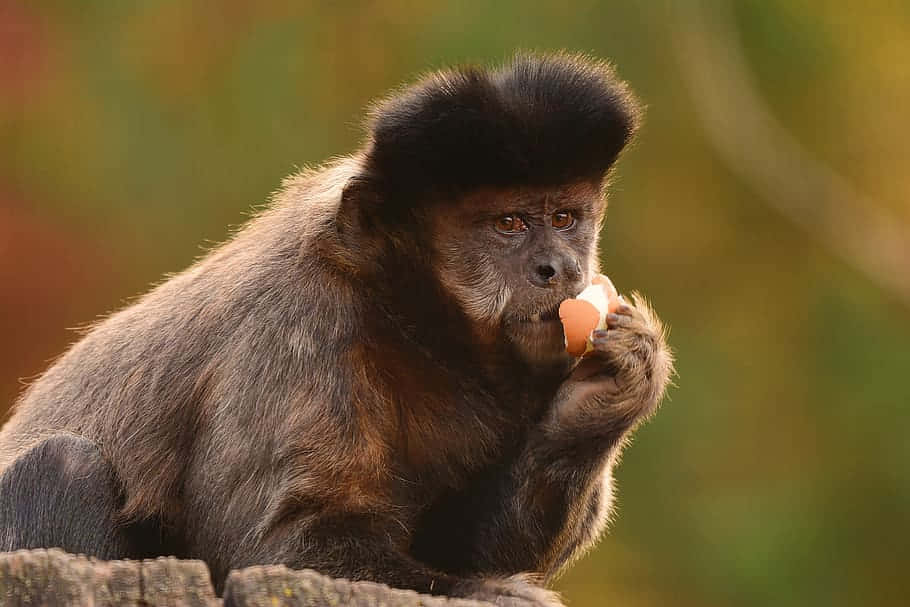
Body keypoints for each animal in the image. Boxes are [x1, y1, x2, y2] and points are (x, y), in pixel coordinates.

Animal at [1, 54, 676, 604]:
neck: (409, 321)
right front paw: (485, 595)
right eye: (509, 224)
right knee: (64, 465)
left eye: (564, 218)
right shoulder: (294, 326)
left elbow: (463, 542)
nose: (559, 267)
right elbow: (269, 548)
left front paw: (607, 397)